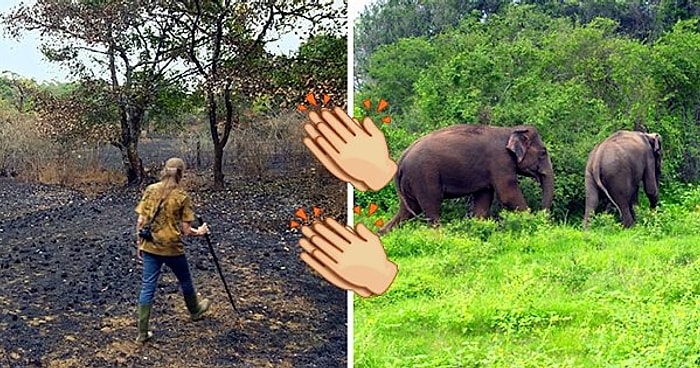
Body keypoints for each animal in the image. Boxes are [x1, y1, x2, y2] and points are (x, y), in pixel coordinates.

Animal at [380, 123, 556, 233]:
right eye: (543, 153)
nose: (543, 216)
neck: (509, 130)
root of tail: (401, 160)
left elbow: (483, 200)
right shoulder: (500, 162)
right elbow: (508, 195)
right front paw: (533, 223)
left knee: (408, 210)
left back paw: (383, 234)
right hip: (423, 176)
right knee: (431, 207)